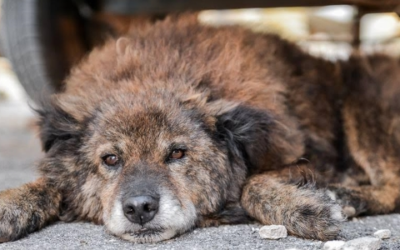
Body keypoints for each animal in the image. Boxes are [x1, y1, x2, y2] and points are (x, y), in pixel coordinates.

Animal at [0, 14, 400, 243]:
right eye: (110, 159)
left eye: (178, 153)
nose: (139, 208)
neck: (157, 72)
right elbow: (48, 182)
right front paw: (10, 205)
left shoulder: (309, 157)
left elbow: (253, 184)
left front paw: (304, 210)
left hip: (364, 98)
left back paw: (350, 196)